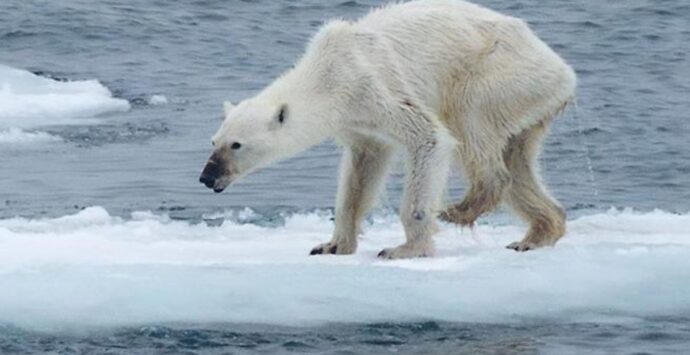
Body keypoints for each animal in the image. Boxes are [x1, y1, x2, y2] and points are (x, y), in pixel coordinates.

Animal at [199, 1, 576, 260]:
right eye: (214, 141)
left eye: (236, 145)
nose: (206, 177)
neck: (327, 74)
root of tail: (563, 71)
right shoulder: (357, 122)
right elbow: (361, 173)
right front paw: (331, 244)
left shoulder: (372, 86)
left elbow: (429, 137)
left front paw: (405, 248)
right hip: (528, 103)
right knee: (518, 162)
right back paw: (535, 234)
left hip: (499, 75)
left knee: (471, 122)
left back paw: (460, 208)